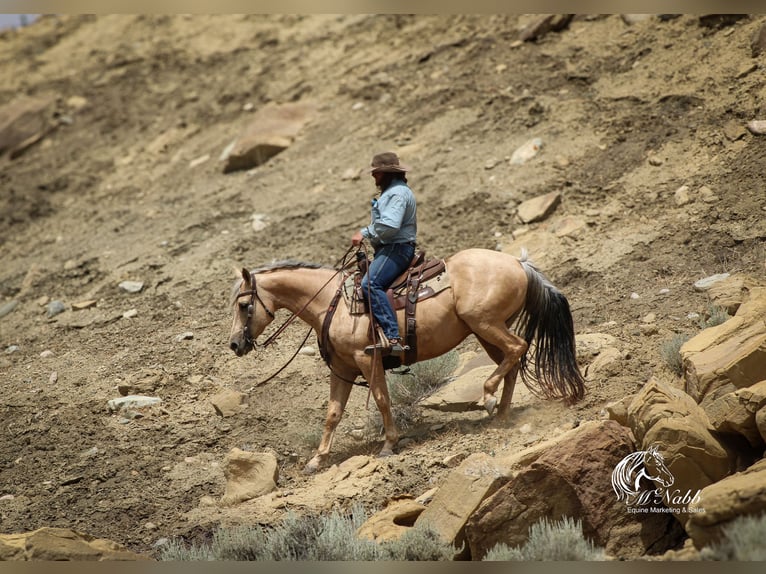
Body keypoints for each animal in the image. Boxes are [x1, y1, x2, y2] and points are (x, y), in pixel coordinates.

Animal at [228, 247, 585, 474]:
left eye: (244, 305)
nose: (234, 344)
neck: (333, 303)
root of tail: (517, 262)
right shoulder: (343, 368)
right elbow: (333, 414)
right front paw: (317, 460)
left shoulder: (366, 360)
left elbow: (382, 400)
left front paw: (389, 444)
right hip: (486, 328)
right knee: (511, 361)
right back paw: (500, 413)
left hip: (486, 324)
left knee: (517, 348)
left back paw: (487, 396)